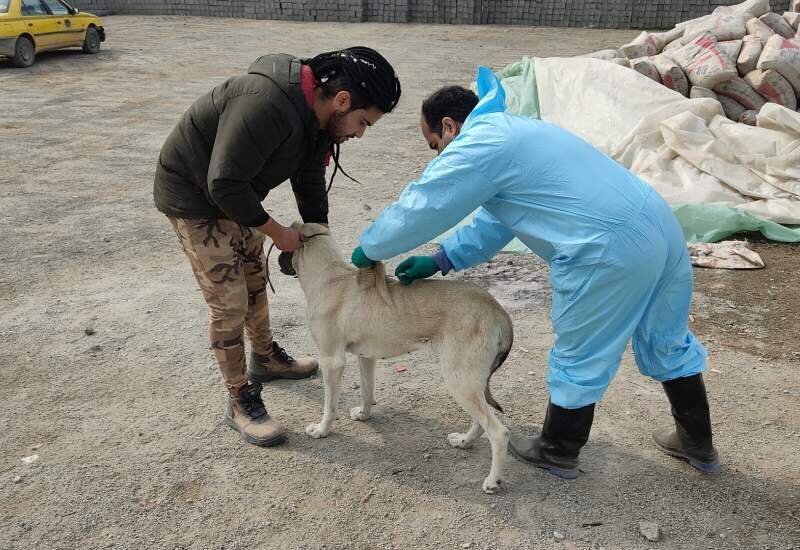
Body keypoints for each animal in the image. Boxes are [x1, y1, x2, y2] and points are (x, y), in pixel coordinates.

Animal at [290, 224, 512, 496]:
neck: (332, 279)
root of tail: (496, 309)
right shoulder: (365, 357)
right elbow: (366, 391)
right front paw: (364, 415)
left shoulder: (331, 361)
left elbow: (329, 407)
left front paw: (322, 430)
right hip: (470, 383)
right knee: (482, 423)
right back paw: (463, 441)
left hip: (460, 382)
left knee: (498, 432)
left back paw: (492, 481)